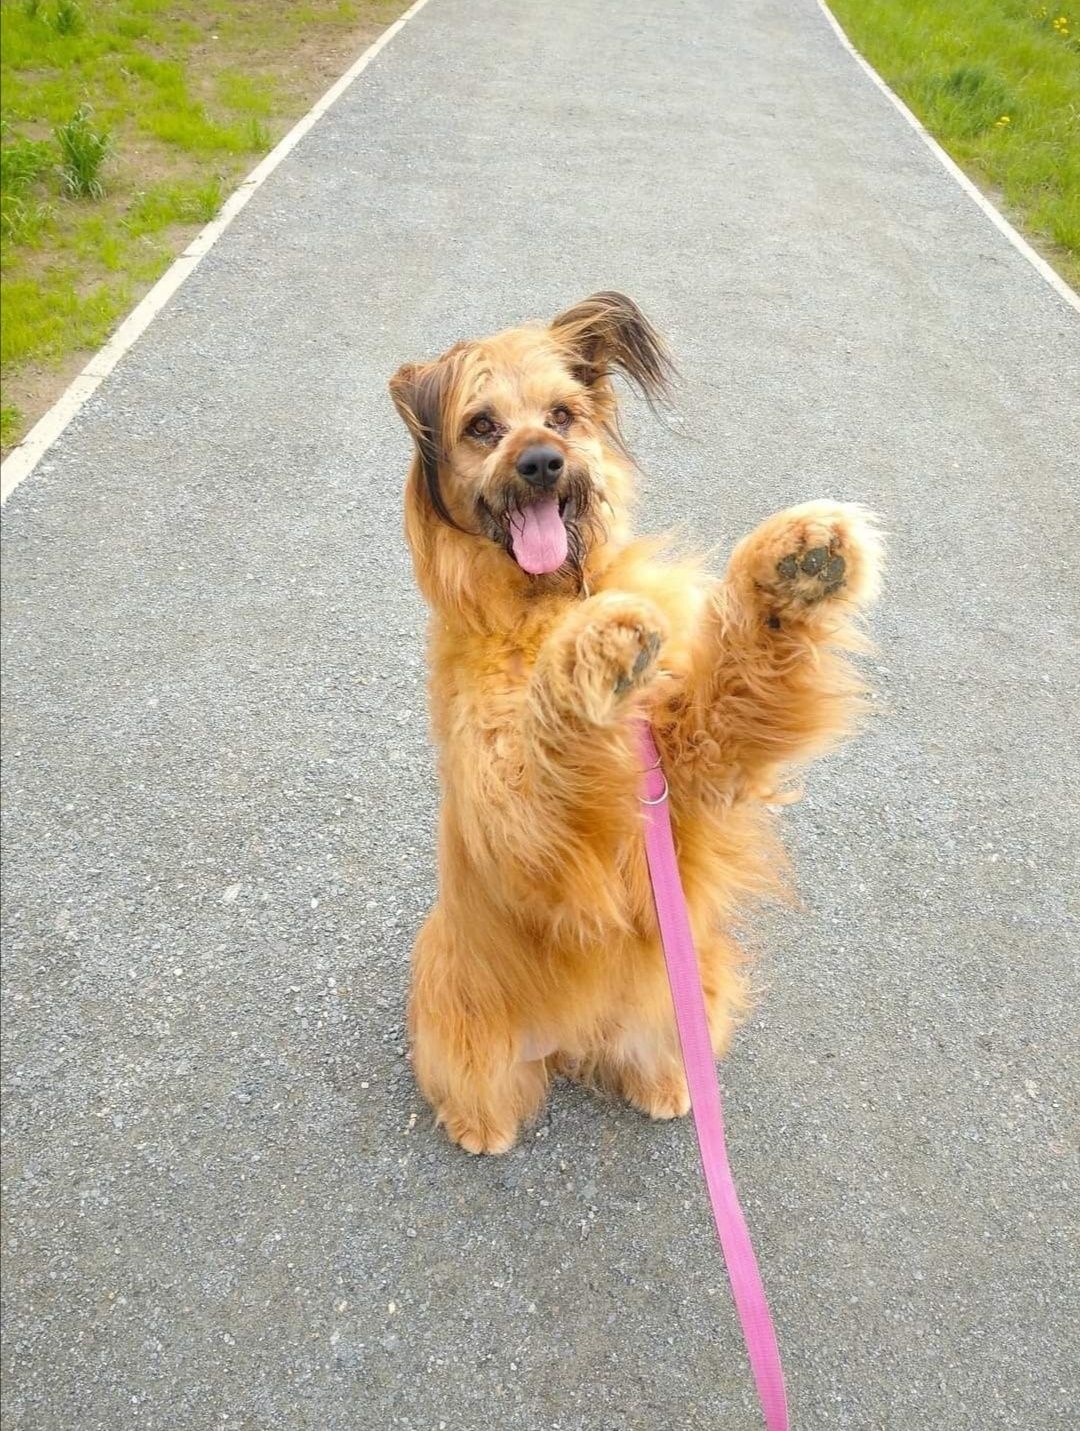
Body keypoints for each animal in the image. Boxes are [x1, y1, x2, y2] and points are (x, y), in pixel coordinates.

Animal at [391, 290, 881, 1150]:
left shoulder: (690, 757)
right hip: (460, 1025)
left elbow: (738, 668)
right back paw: (479, 1126)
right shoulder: (517, 817)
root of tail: (569, 1042)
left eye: (562, 414)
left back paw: (666, 1084)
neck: (542, 606)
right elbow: (542, 743)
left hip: (692, 995)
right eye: (481, 425)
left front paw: (793, 562)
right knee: (480, 1086)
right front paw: (594, 644)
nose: (542, 461)